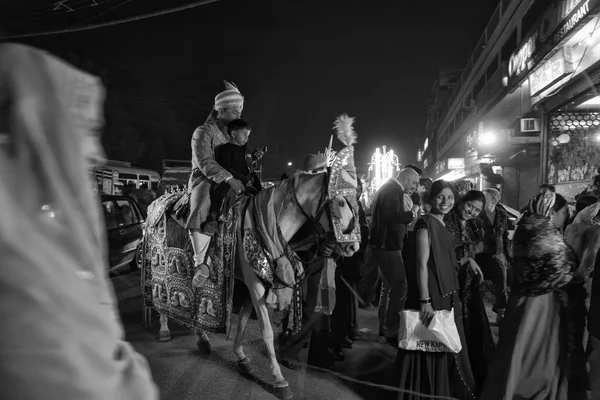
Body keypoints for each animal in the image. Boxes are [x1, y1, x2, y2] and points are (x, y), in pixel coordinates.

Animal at [144, 170, 360, 398]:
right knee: (162, 298)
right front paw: (279, 380)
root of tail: (158, 201)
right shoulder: (255, 285)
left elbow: (244, 321)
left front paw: (242, 358)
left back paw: (202, 337)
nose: (352, 247)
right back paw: (164, 328)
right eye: (340, 203)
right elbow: (266, 331)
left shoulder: (250, 285)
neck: (265, 225)